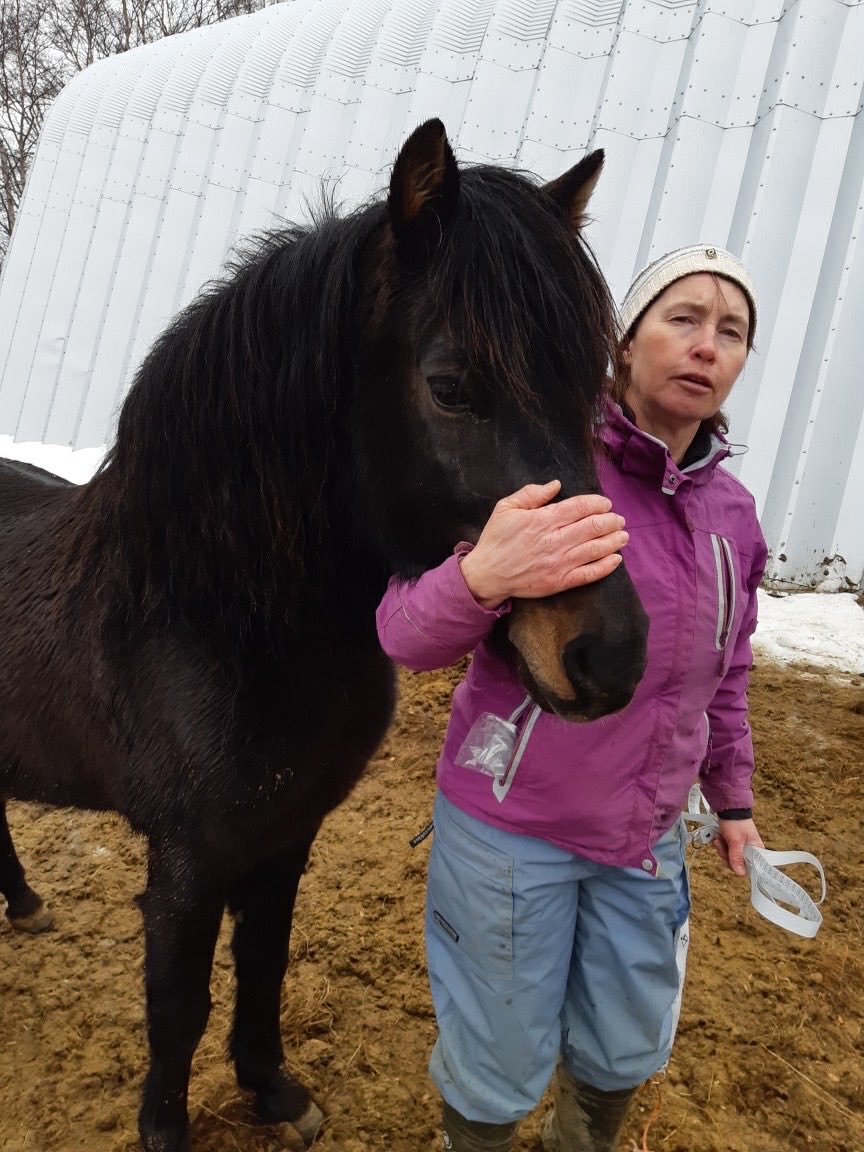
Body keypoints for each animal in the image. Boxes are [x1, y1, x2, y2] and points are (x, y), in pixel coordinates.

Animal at [0, 119, 648, 1152]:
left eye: (592, 387)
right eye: (451, 387)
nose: (609, 657)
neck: (219, 618)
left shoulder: (286, 833)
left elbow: (264, 962)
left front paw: (273, 1090)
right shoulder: (186, 859)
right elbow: (176, 1004)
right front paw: (167, 1128)